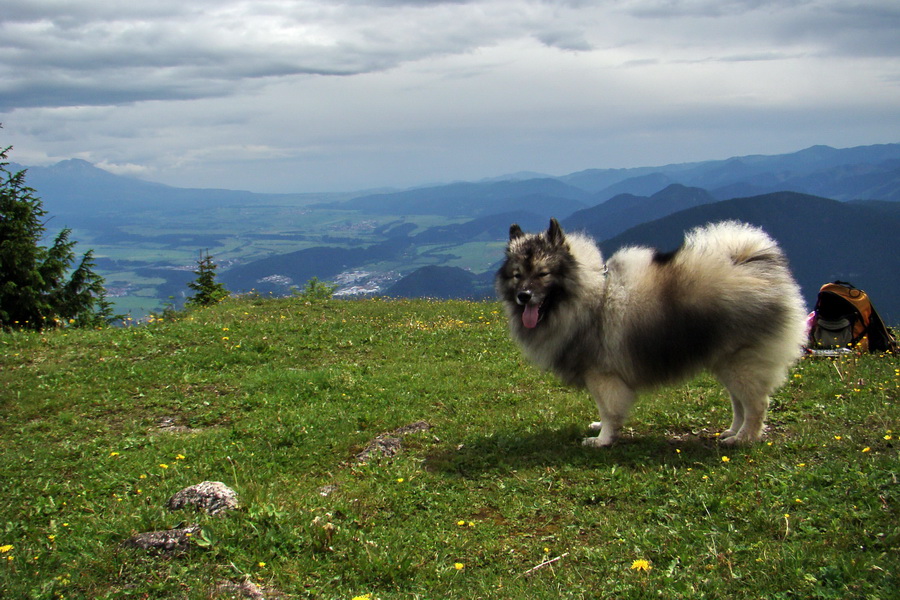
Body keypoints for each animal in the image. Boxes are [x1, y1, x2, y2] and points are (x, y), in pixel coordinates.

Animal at [496, 219, 804, 446]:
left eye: (543, 274)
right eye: (517, 275)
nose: (524, 296)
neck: (591, 295)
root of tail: (756, 266)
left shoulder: (602, 375)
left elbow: (609, 409)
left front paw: (602, 439)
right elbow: (604, 409)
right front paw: (600, 428)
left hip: (741, 363)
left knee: (756, 404)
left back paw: (744, 438)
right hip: (725, 363)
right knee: (739, 403)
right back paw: (731, 431)